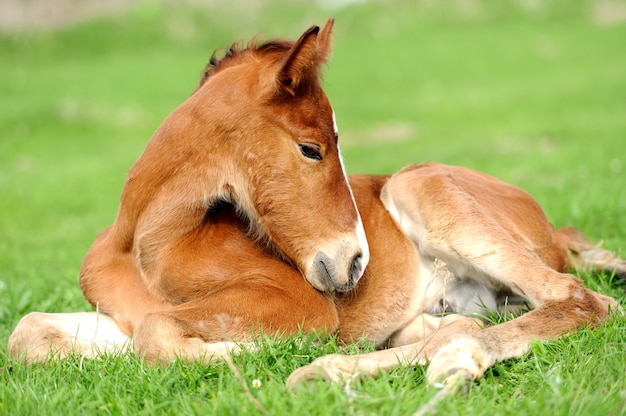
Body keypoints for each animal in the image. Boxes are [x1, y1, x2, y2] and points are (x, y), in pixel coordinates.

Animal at [7, 21, 620, 388]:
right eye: (311, 148)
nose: (356, 261)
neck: (145, 246)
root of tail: (558, 232)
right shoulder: (119, 315)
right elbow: (28, 333)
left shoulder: (298, 304)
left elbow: (156, 332)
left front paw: (248, 359)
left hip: (417, 186)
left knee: (582, 300)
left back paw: (335, 369)